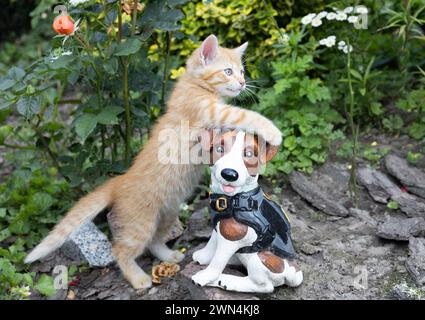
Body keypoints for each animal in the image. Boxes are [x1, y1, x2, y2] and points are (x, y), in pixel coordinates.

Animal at [24, 35, 282, 290]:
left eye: (242, 71)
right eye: (228, 71)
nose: (242, 82)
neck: (195, 85)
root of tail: (120, 181)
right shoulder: (209, 111)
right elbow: (244, 114)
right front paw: (273, 131)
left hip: (166, 213)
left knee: (154, 241)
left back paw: (169, 256)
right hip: (140, 224)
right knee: (121, 250)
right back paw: (138, 279)